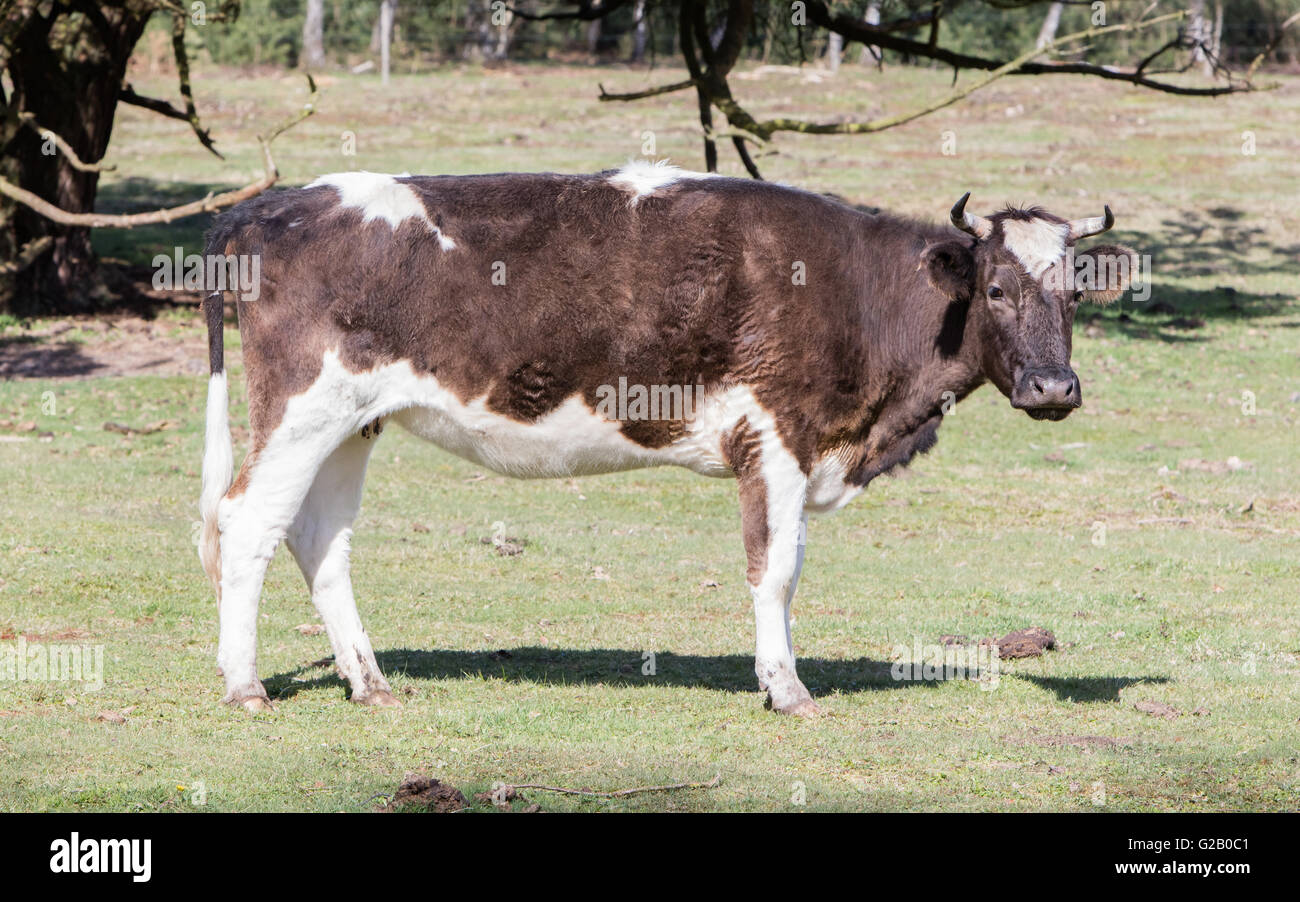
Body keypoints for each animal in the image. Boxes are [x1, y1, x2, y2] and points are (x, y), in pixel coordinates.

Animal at [198, 161, 1137, 715]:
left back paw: (370, 681)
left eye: (1075, 294)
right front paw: (786, 688)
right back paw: (245, 685)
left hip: (352, 423)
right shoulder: (776, 439)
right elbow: (775, 569)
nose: (1054, 388)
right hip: (303, 410)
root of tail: (274, 205)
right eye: (997, 289)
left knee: (319, 540)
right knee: (248, 525)